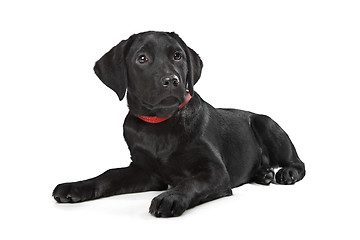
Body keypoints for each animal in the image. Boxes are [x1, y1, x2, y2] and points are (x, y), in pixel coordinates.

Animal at [52, 31, 306, 217]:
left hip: (266, 123)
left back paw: (287, 173)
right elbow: (109, 175)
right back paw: (263, 174)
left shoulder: (215, 171)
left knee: (298, 162)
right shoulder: (145, 171)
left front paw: (171, 197)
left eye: (178, 56)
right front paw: (76, 186)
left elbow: (192, 182)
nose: (171, 80)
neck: (159, 124)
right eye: (142, 58)